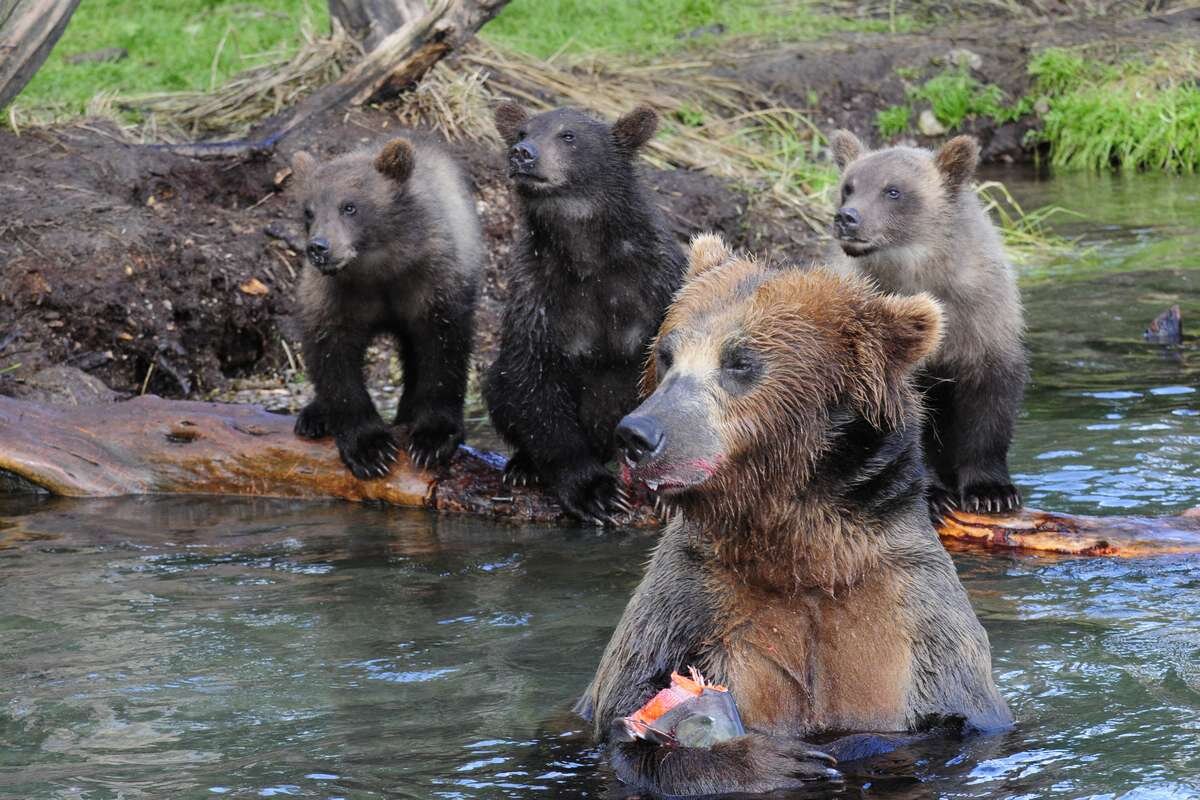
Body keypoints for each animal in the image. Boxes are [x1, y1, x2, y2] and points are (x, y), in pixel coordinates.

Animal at [289, 137, 477, 479]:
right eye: (308, 211)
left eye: (349, 206)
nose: (319, 247)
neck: (378, 269)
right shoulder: (337, 298)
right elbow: (334, 361)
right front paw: (370, 449)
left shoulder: (432, 282)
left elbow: (443, 351)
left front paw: (432, 438)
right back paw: (314, 415)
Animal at [480, 101, 686, 525]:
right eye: (522, 131)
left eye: (568, 135)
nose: (522, 153)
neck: (587, 253)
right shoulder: (538, 295)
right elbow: (533, 380)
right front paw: (595, 493)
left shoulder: (656, 285)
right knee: (499, 383)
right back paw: (522, 466)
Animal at [576, 235, 1008, 796]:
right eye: (666, 354)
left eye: (740, 361)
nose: (638, 434)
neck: (799, 548)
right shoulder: (688, 601)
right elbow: (626, 722)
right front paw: (775, 760)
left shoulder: (910, 608)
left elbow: (958, 721)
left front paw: (837, 750)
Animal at [830, 131, 1027, 520]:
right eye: (849, 186)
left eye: (893, 190)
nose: (847, 217)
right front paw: (935, 496)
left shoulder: (982, 322)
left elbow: (990, 402)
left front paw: (992, 492)